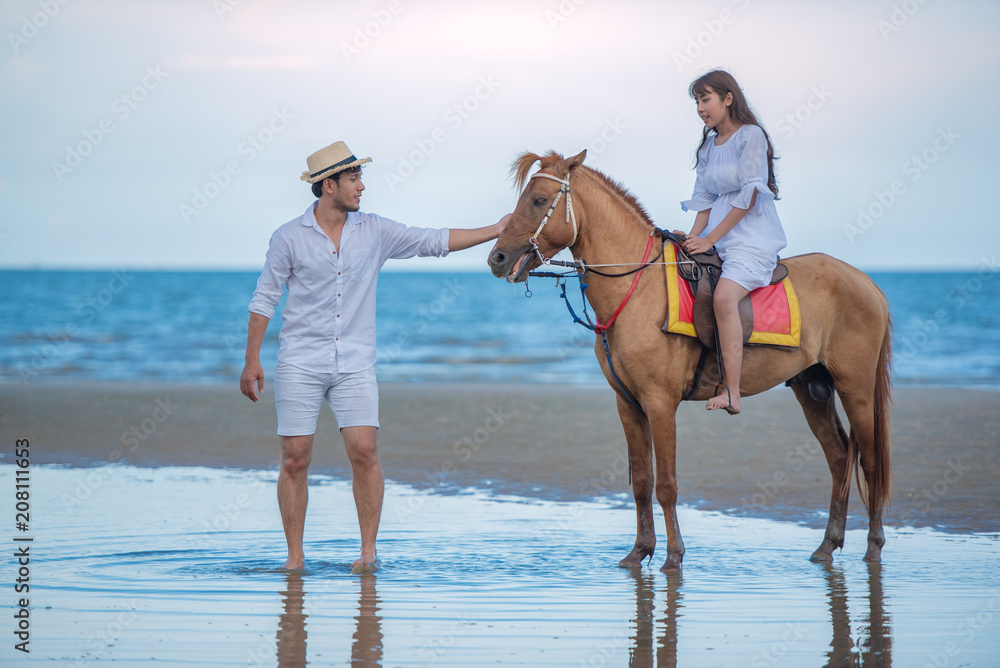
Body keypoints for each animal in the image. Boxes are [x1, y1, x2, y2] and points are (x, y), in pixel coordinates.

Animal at [486, 149, 892, 572]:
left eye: (539, 200)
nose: (497, 258)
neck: (638, 289)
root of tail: (867, 283)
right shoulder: (628, 405)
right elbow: (643, 482)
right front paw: (639, 551)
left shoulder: (660, 403)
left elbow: (666, 484)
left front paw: (672, 556)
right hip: (811, 388)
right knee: (839, 456)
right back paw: (828, 545)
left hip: (856, 388)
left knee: (871, 462)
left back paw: (873, 547)